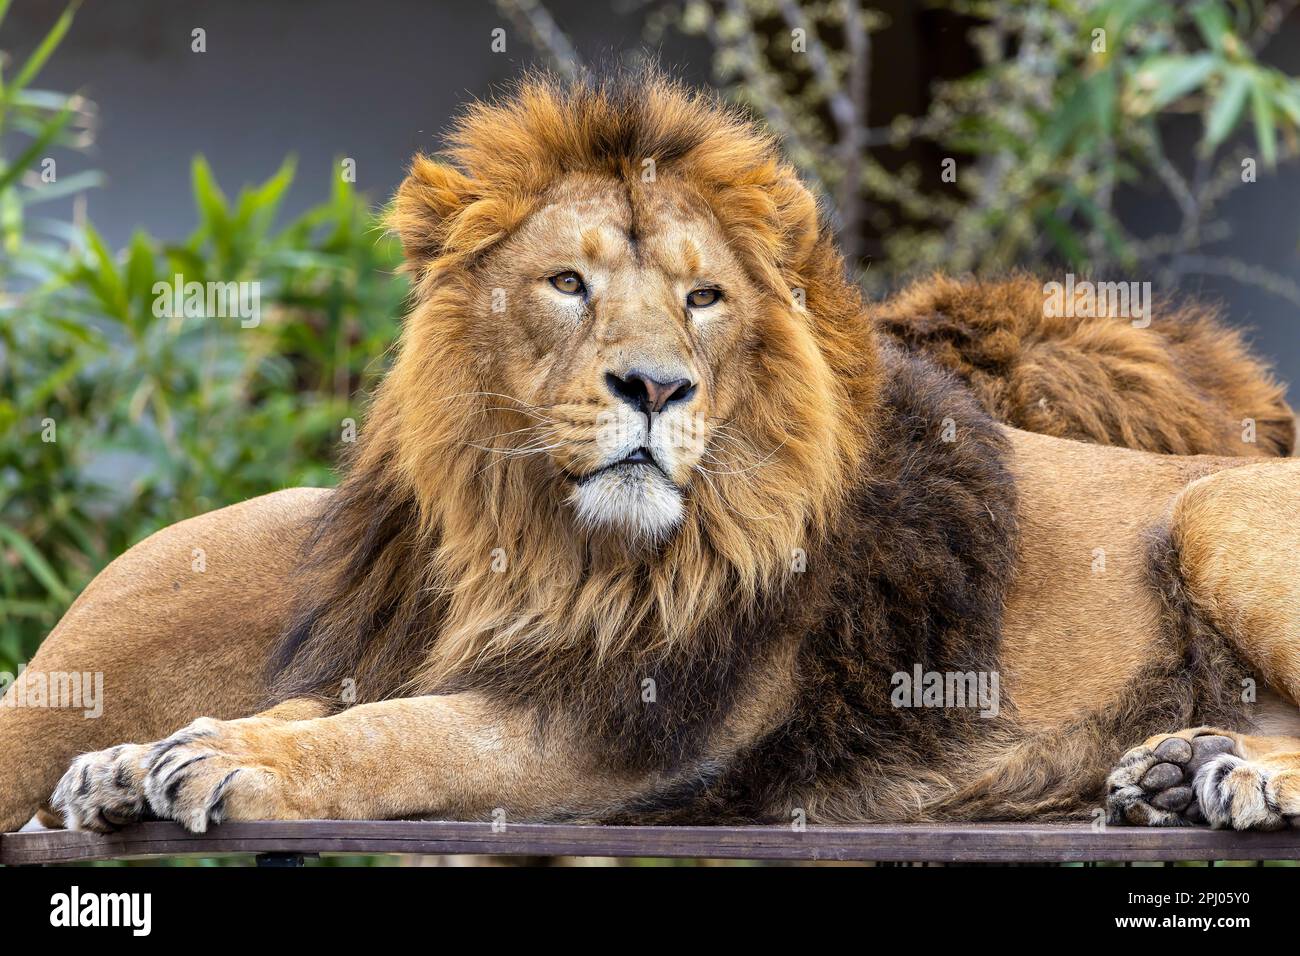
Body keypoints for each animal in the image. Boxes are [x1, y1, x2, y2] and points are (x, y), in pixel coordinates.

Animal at [3, 70, 1300, 838]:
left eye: (702, 297)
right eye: (568, 283)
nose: (655, 385)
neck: (531, 534)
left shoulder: (615, 729)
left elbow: (399, 734)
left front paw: (226, 757)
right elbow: (326, 698)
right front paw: (135, 753)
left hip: (1213, 508)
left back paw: (1239, 771)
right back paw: (1185, 760)